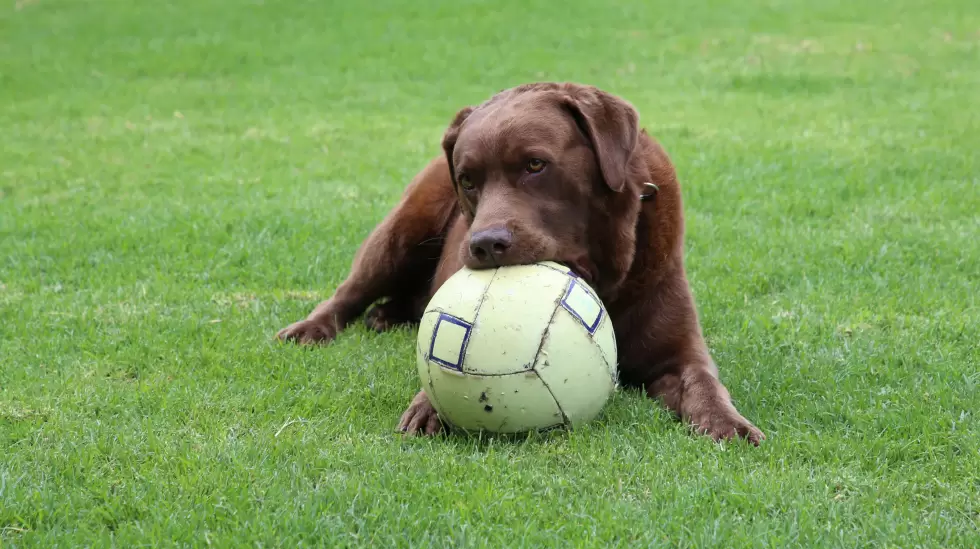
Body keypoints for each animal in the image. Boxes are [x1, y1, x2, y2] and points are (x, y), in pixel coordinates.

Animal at [276, 81, 764, 444]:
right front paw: (426, 406)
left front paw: (729, 423)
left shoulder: (679, 351)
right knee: (351, 290)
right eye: (468, 180)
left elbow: (703, 382)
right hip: (402, 231)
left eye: (535, 165)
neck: (606, 276)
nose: (485, 244)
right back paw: (312, 328)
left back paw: (385, 315)